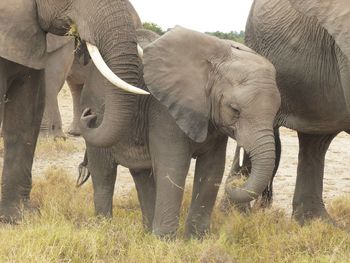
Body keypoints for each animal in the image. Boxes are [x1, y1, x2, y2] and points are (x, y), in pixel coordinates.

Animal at [80, 26, 282, 239]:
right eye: (235, 110)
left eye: (277, 111)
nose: (237, 180)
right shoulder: (164, 110)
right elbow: (173, 165)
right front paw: (165, 241)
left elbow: (212, 168)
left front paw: (196, 239)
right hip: (96, 108)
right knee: (104, 174)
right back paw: (104, 228)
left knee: (142, 175)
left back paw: (146, 233)